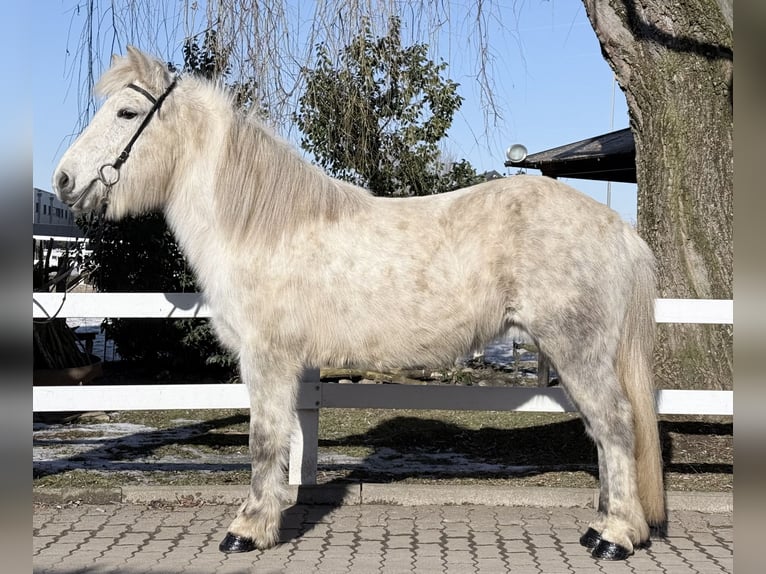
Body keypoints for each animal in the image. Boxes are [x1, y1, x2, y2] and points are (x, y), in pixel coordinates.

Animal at [53, 46, 665, 560]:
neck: (259, 226)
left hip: (577, 350)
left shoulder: (267, 359)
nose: (63, 180)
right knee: (605, 432)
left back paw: (613, 538)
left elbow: (263, 440)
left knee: (615, 425)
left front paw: (248, 530)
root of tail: (618, 229)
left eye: (127, 112)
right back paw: (606, 526)